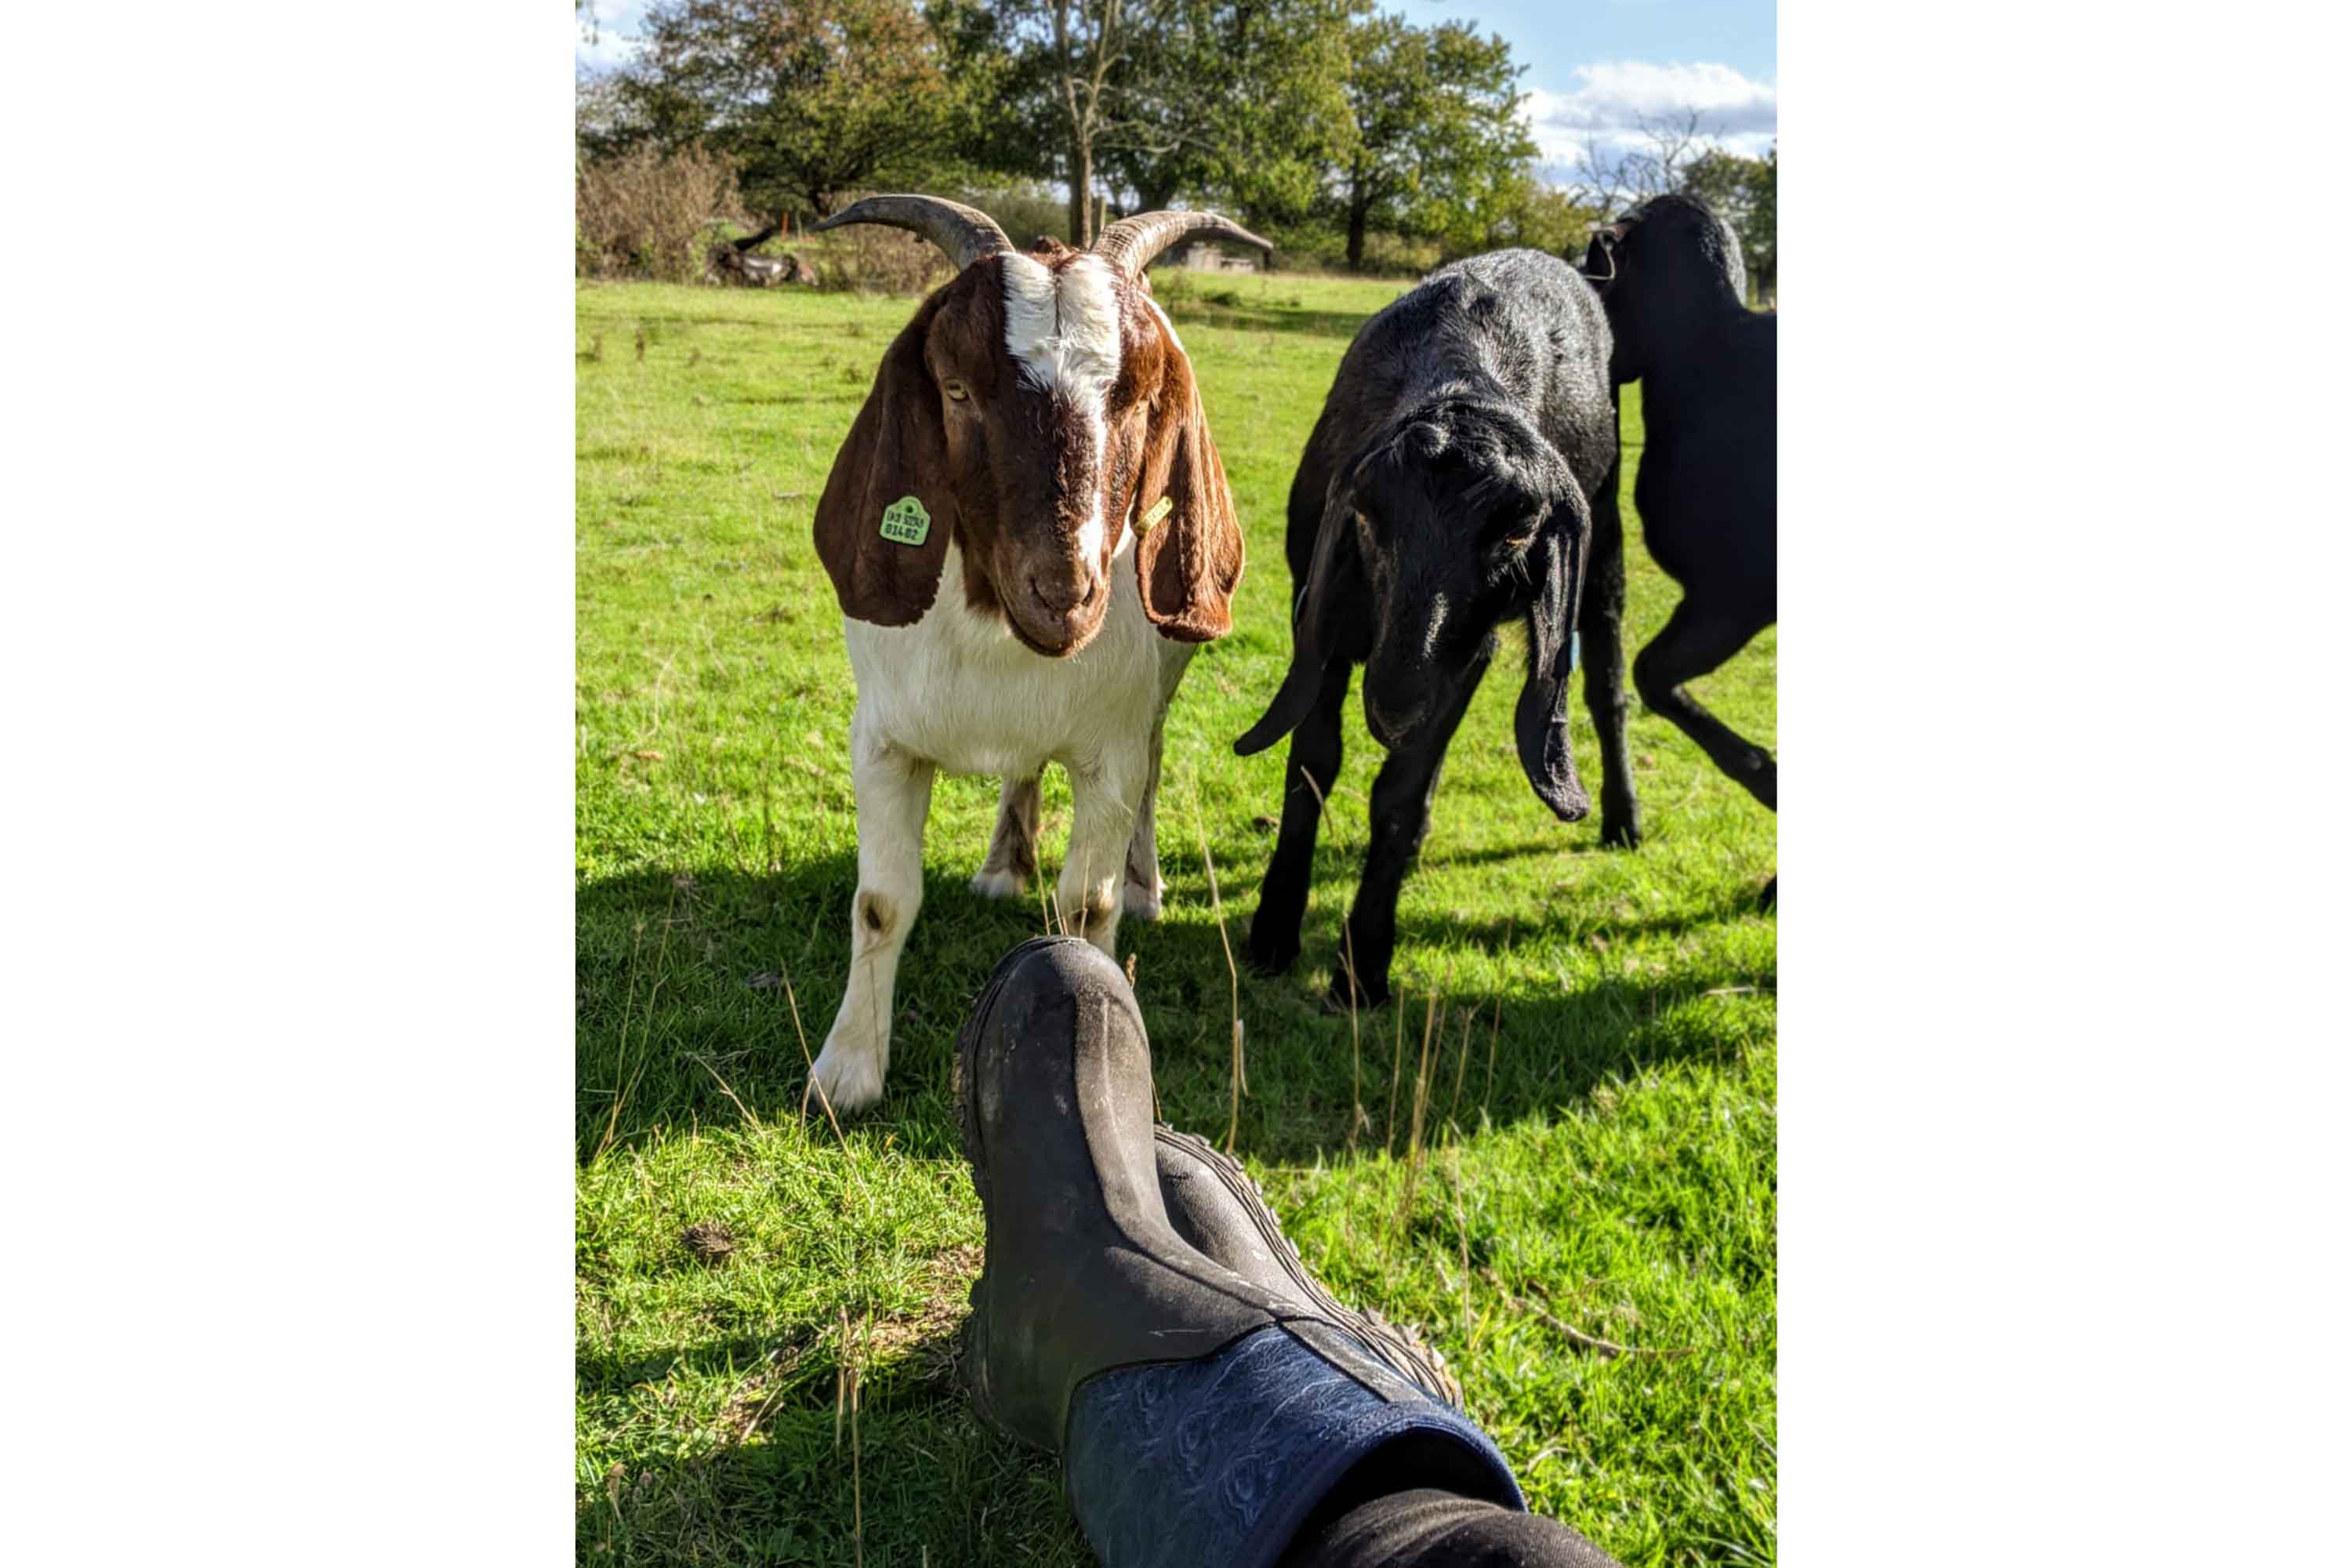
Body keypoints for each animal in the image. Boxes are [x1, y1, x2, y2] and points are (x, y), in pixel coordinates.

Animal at [800, 196, 1261, 1114]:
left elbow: (1086, 905)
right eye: (954, 388)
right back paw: (1002, 865)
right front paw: (845, 1073)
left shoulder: (1111, 750)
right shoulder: (882, 742)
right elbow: (880, 903)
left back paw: (1148, 886)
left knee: (1153, 773)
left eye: (1141, 400)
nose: (1063, 590)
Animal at [1223, 245, 1628, 1006]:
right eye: (1366, 517)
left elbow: (1398, 795)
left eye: (1517, 531)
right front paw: (1272, 933)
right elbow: (1313, 764)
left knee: (1608, 681)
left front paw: (1363, 968)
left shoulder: (1467, 655)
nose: (1395, 705)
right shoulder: (1318, 618)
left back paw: (1624, 821)